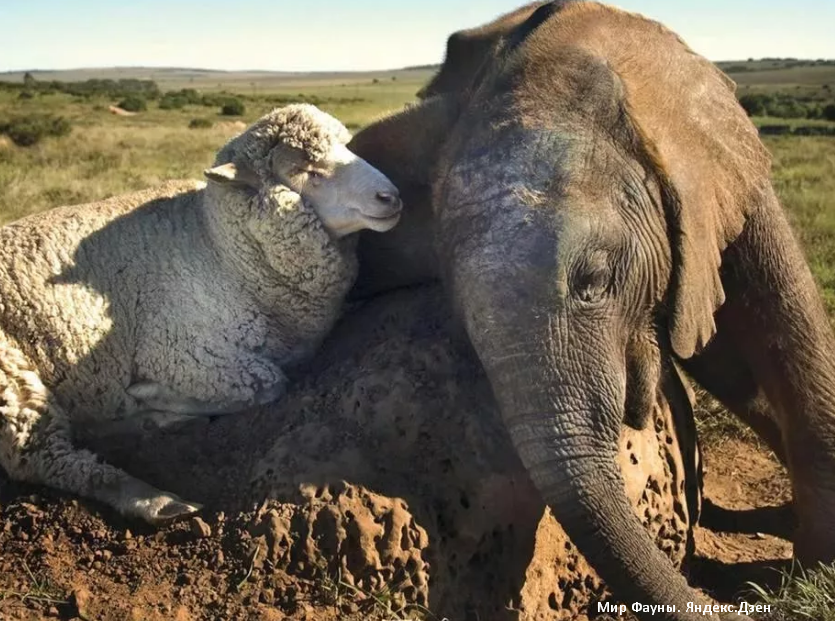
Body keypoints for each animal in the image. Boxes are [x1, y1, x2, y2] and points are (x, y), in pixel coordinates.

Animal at [0, 105, 402, 524]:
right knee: (38, 456)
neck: (220, 250)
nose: (391, 196)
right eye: (307, 170)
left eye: (347, 146)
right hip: (9, 373)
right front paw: (149, 393)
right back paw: (157, 497)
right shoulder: (176, 351)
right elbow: (269, 381)